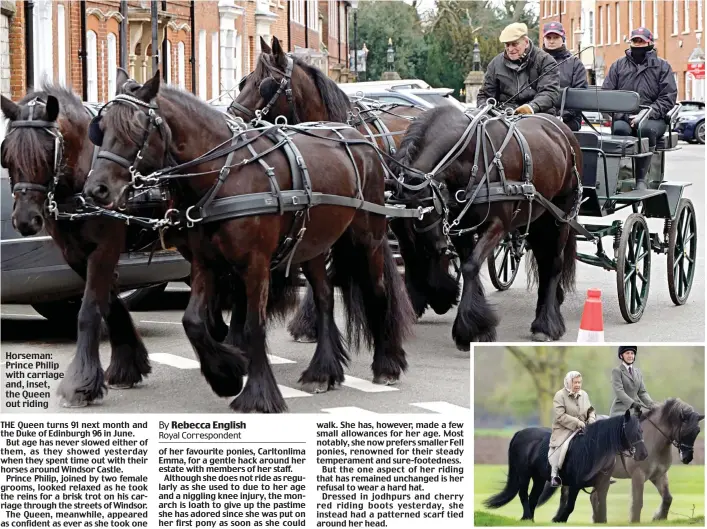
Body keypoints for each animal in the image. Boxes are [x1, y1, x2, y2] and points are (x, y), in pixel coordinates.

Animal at [84, 70, 414, 412]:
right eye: (101, 129)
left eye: (135, 129)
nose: (97, 189)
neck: (225, 174)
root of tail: (360, 138)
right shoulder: (205, 262)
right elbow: (193, 321)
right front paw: (225, 373)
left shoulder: (255, 264)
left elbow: (254, 324)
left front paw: (258, 393)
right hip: (312, 245)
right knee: (324, 298)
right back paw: (322, 371)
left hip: (368, 238)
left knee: (378, 291)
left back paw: (386, 364)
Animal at [392, 105, 580, 348]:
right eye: (396, 227)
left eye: (424, 213)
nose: (438, 249)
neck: (471, 156)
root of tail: (563, 132)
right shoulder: (461, 228)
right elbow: (468, 263)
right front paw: (477, 323)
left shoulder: (497, 225)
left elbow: (470, 266)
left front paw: (470, 328)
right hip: (537, 219)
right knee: (544, 262)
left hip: (560, 217)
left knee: (554, 263)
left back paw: (546, 324)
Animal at [486, 410, 648, 520]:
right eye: (630, 431)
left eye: (641, 430)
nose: (643, 454)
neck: (594, 451)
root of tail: (520, 432)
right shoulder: (575, 485)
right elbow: (570, 506)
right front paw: (558, 519)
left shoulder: (603, 485)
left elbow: (602, 508)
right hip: (524, 474)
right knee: (524, 495)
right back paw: (527, 517)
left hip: (539, 478)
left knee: (533, 497)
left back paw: (529, 520)